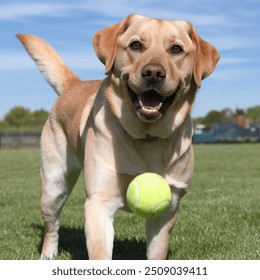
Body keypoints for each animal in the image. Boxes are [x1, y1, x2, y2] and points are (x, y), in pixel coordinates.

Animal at [16, 14, 219, 260]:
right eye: (136, 45)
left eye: (176, 49)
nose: (153, 73)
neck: (146, 137)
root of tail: (75, 84)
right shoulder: (98, 204)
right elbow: (101, 254)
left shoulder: (168, 209)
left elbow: (157, 253)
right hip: (53, 185)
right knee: (51, 226)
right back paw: (48, 255)